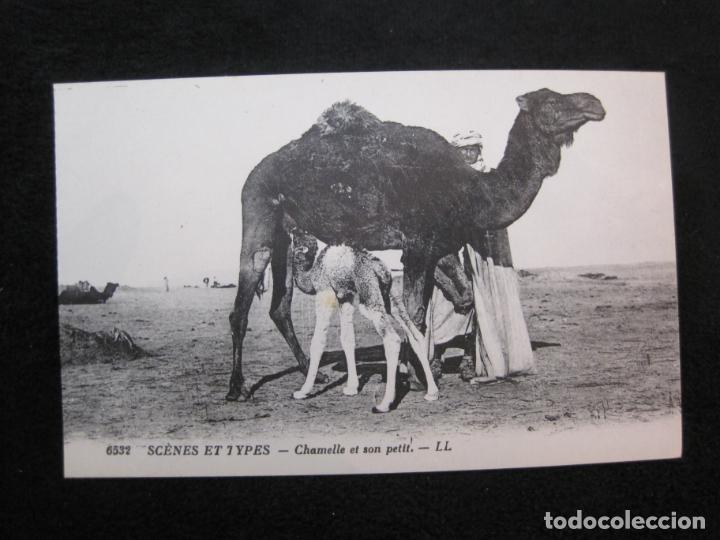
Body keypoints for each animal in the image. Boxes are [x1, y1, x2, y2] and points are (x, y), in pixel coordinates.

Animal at [289, 233, 438, 412]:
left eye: (295, 240)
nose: (288, 236)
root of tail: (382, 270)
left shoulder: (325, 291)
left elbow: (318, 342)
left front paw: (303, 391)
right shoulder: (345, 296)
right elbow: (347, 339)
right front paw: (351, 388)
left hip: (369, 298)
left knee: (392, 339)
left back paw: (384, 404)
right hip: (389, 297)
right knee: (415, 335)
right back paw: (432, 393)